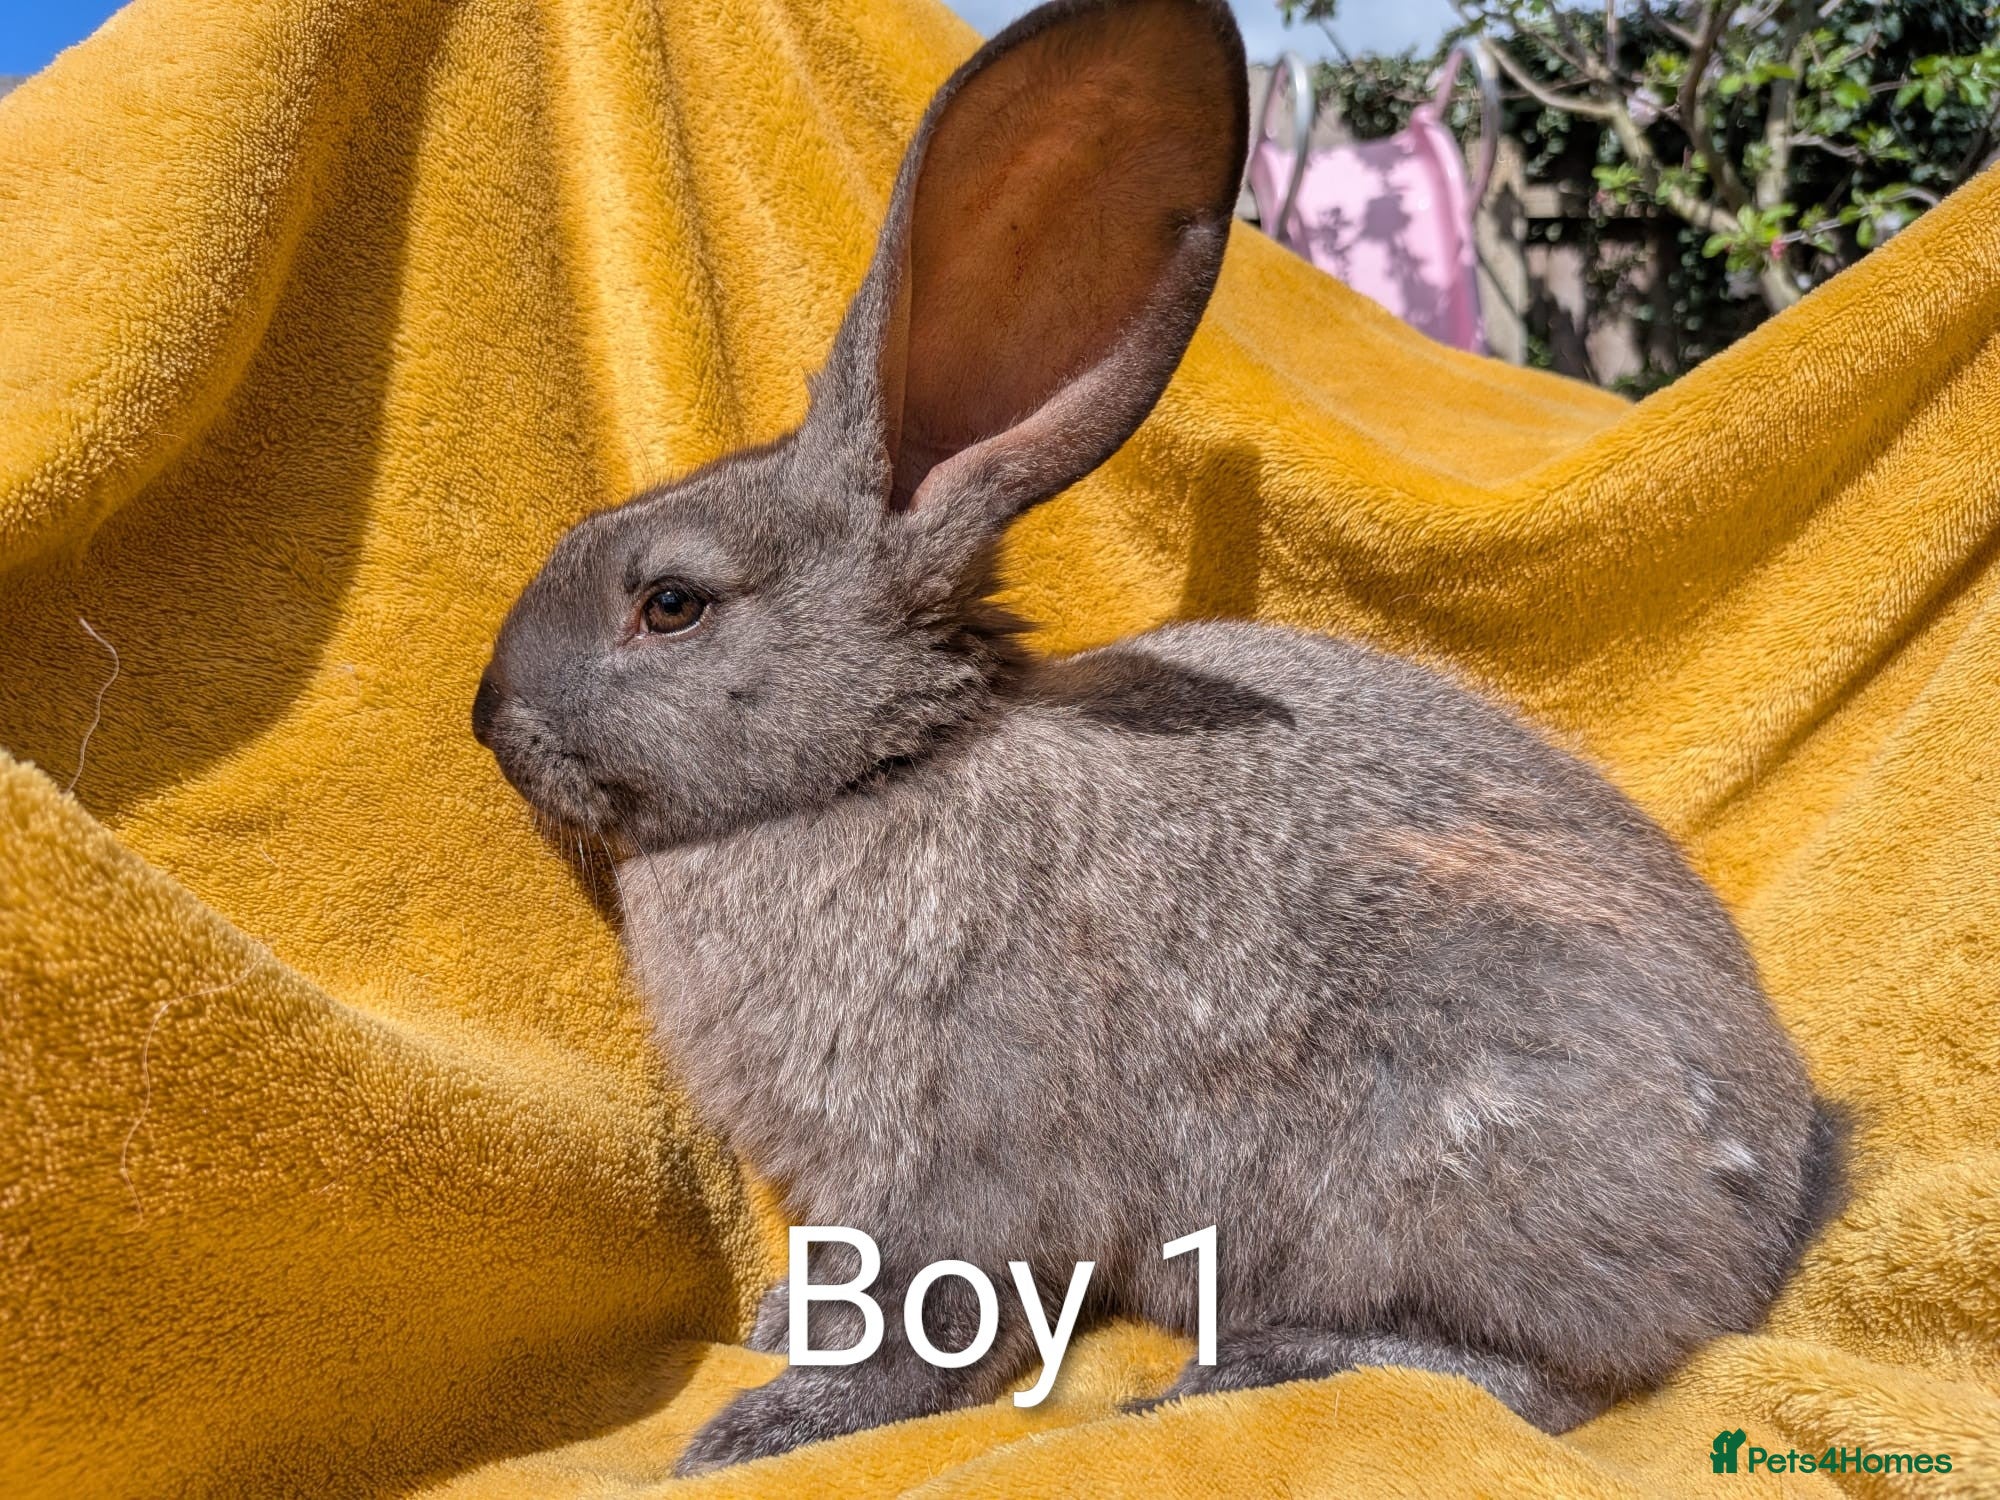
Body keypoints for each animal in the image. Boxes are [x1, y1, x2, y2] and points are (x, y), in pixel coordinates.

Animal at [471, 0, 1839, 1475]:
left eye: (669, 604)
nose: (487, 717)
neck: (877, 768)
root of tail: (1766, 1212)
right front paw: (782, 1326)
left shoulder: (953, 1153)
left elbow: (925, 1322)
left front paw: (763, 1428)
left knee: (1542, 1375)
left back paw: (1237, 1375)